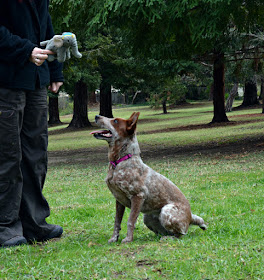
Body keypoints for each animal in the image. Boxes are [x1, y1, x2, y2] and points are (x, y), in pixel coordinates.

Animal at [91, 111, 206, 243]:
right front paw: (114, 238)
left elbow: (130, 220)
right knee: (165, 232)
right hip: (147, 217)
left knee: (181, 234)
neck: (119, 162)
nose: (96, 116)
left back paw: (167, 238)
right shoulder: (118, 200)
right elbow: (117, 222)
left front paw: (128, 239)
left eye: (115, 121)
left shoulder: (138, 196)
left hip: (166, 211)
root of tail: (191, 217)